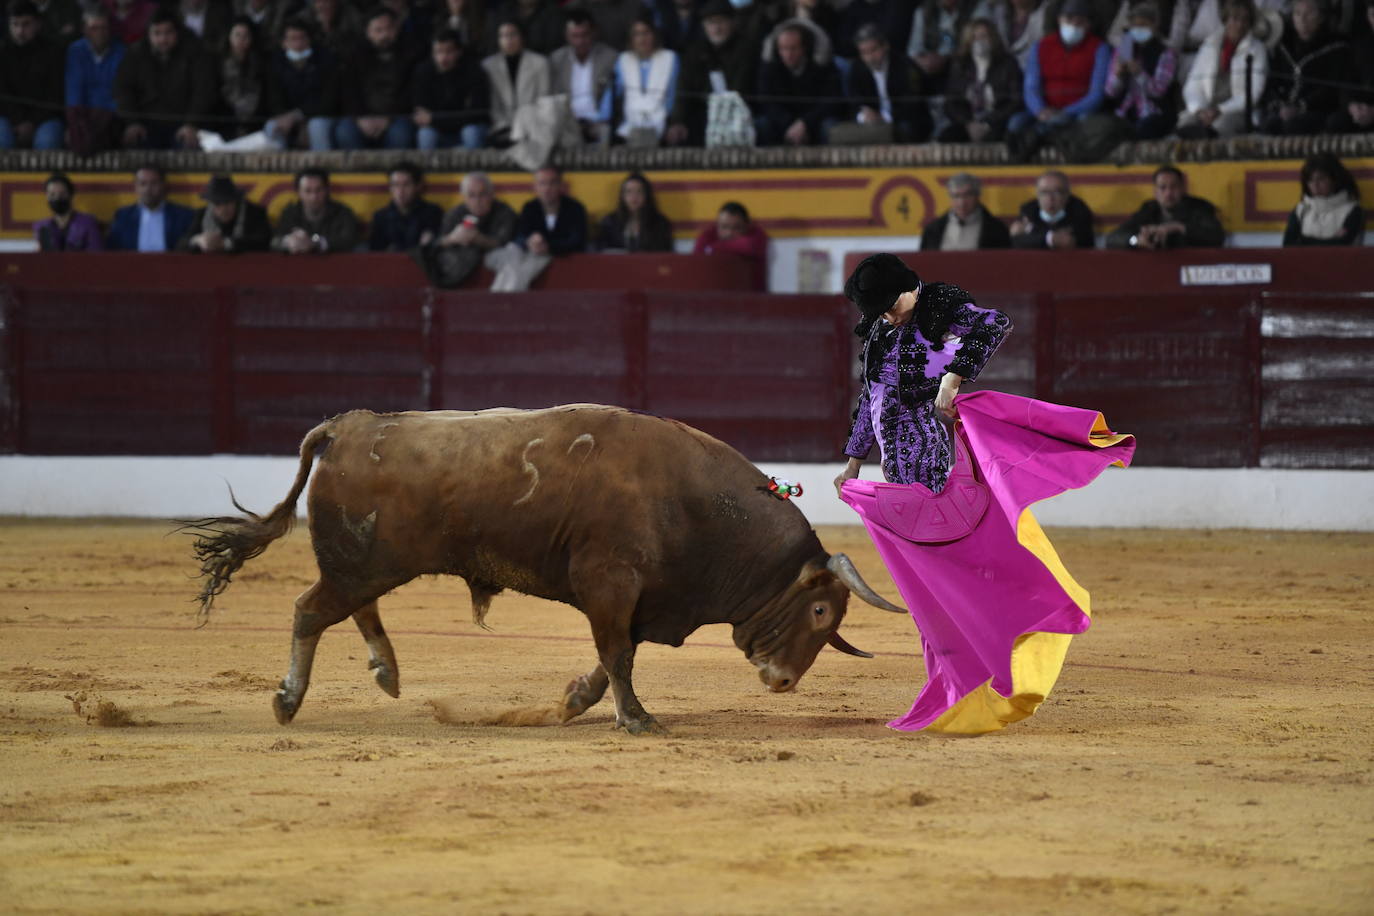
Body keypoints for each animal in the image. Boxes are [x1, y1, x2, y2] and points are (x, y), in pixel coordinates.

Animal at [185, 403, 912, 736]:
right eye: (819, 610)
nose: (783, 680)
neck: (692, 503)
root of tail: (345, 426)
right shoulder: (610, 582)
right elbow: (618, 653)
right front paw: (636, 720)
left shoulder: (638, 596)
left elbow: (617, 653)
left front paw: (576, 701)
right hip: (363, 561)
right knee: (310, 610)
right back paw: (288, 699)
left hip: (371, 562)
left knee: (350, 606)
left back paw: (386, 672)